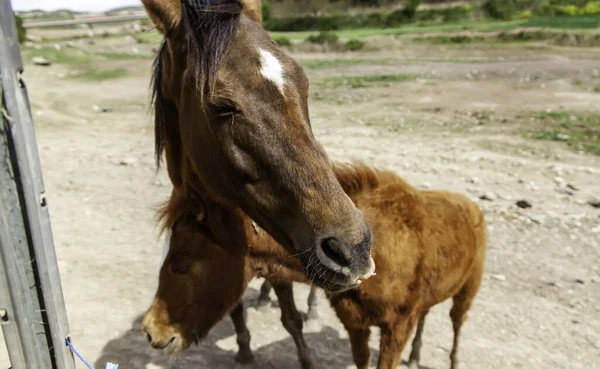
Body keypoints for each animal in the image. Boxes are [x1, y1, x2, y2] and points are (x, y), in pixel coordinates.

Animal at [142, 164, 488, 368]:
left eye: (181, 265)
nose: (151, 330)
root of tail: (472, 207)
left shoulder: (396, 327)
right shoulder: (356, 324)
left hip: (468, 290)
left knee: (457, 323)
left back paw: (453, 361)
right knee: (428, 314)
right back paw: (415, 357)